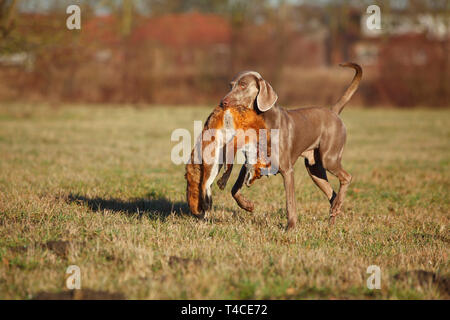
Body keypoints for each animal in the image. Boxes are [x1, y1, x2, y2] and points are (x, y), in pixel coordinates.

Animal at [215, 62, 362, 230]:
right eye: (230, 85)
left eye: (243, 85)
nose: (222, 102)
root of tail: (334, 112)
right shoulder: (250, 163)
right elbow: (234, 190)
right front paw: (247, 205)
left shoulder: (287, 170)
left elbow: (290, 202)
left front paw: (290, 226)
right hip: (315, 170)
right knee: (332, 195)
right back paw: (332, 219)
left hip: (329, 158)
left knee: (347, 177)